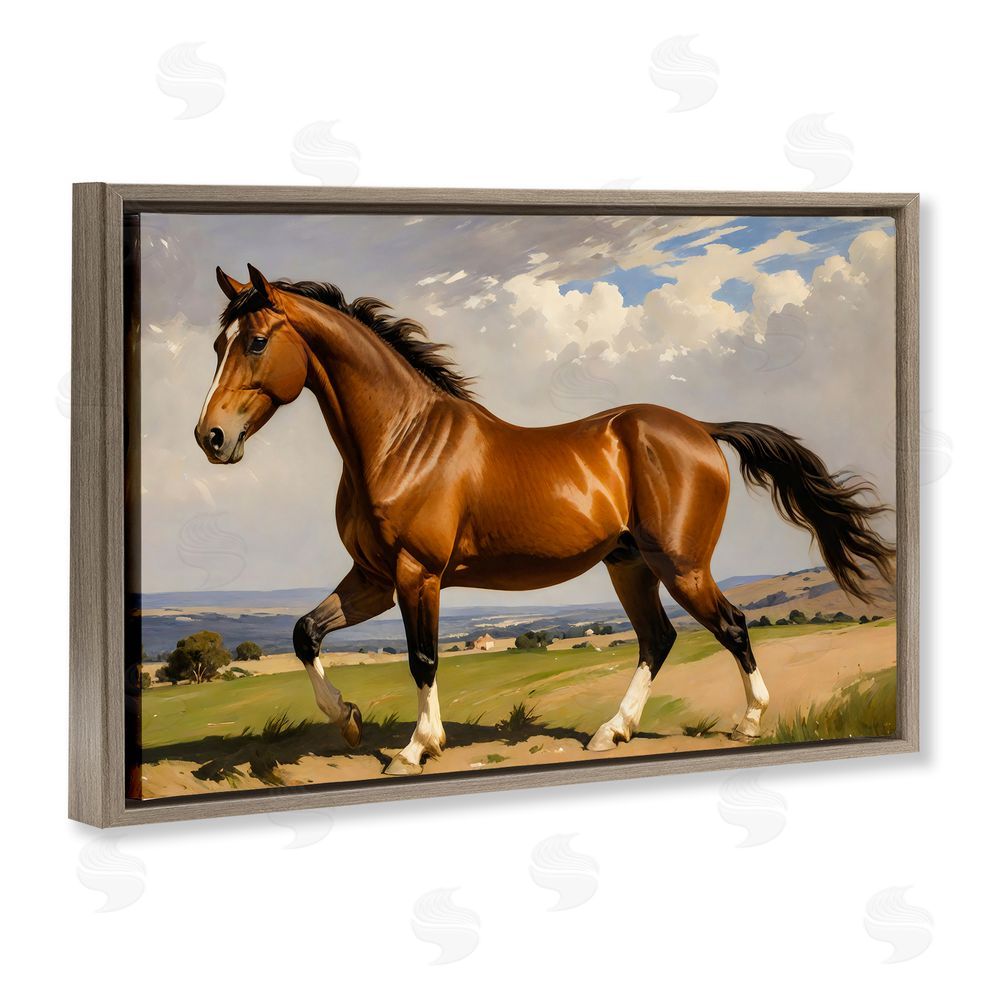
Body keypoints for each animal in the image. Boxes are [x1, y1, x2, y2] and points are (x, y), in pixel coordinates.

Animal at [195, 264, 895, 775]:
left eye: (257, 341)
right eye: (218, 344)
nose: (211, 437)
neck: (401, 440)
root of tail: (700, 429)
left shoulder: (417, 574)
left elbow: (423, 659)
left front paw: (418, 746)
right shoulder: (373, 576)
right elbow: (305, 633)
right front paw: (348, 721)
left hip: (681, 565)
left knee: (731, 624)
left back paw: (747, 722)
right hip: (629, 565)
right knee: (658, 639)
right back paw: (611, 733)